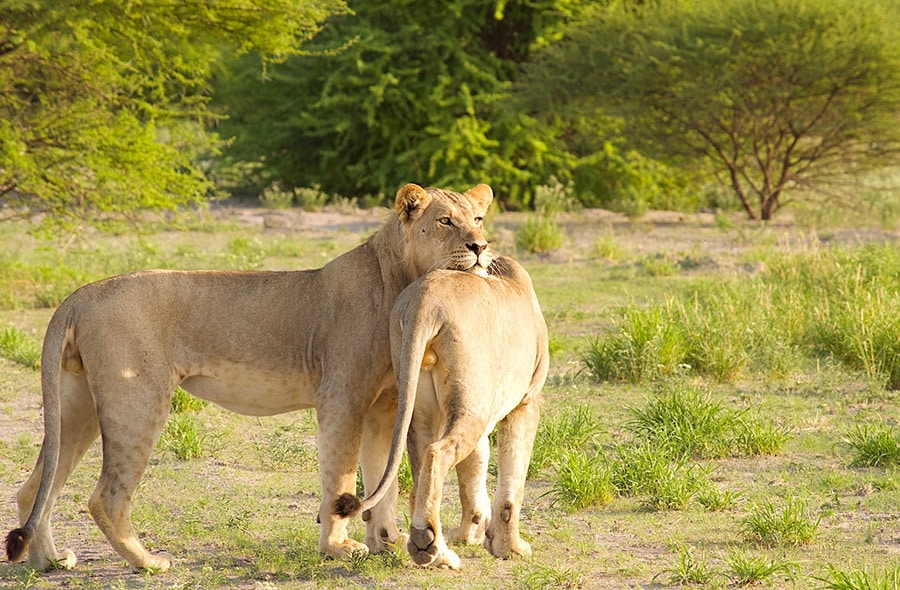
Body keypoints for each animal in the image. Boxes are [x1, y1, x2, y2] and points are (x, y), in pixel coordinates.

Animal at [3, 184, 492, 572]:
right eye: (445, 220)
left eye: (478, 219)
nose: (480, 247)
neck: (399, 276)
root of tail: (80, 294)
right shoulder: (342, 397)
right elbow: (340, 476)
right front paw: (337, 548)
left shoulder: (384, 405)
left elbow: (379, 478)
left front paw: (385, 541)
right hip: (138, 401)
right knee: (105, 496)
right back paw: (148, 562)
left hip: (78, 403)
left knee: (34, 487)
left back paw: (49, 561)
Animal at [356, 256, 548, 572]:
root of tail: (424, 300)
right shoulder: (525, 403)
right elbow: (513, 481)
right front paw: (509, 548)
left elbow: (473, 471)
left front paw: (472, 533)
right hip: (471, 404)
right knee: (438, 453)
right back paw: (427, 544)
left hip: (426, 407)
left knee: (420, 478)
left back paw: (439, 552)